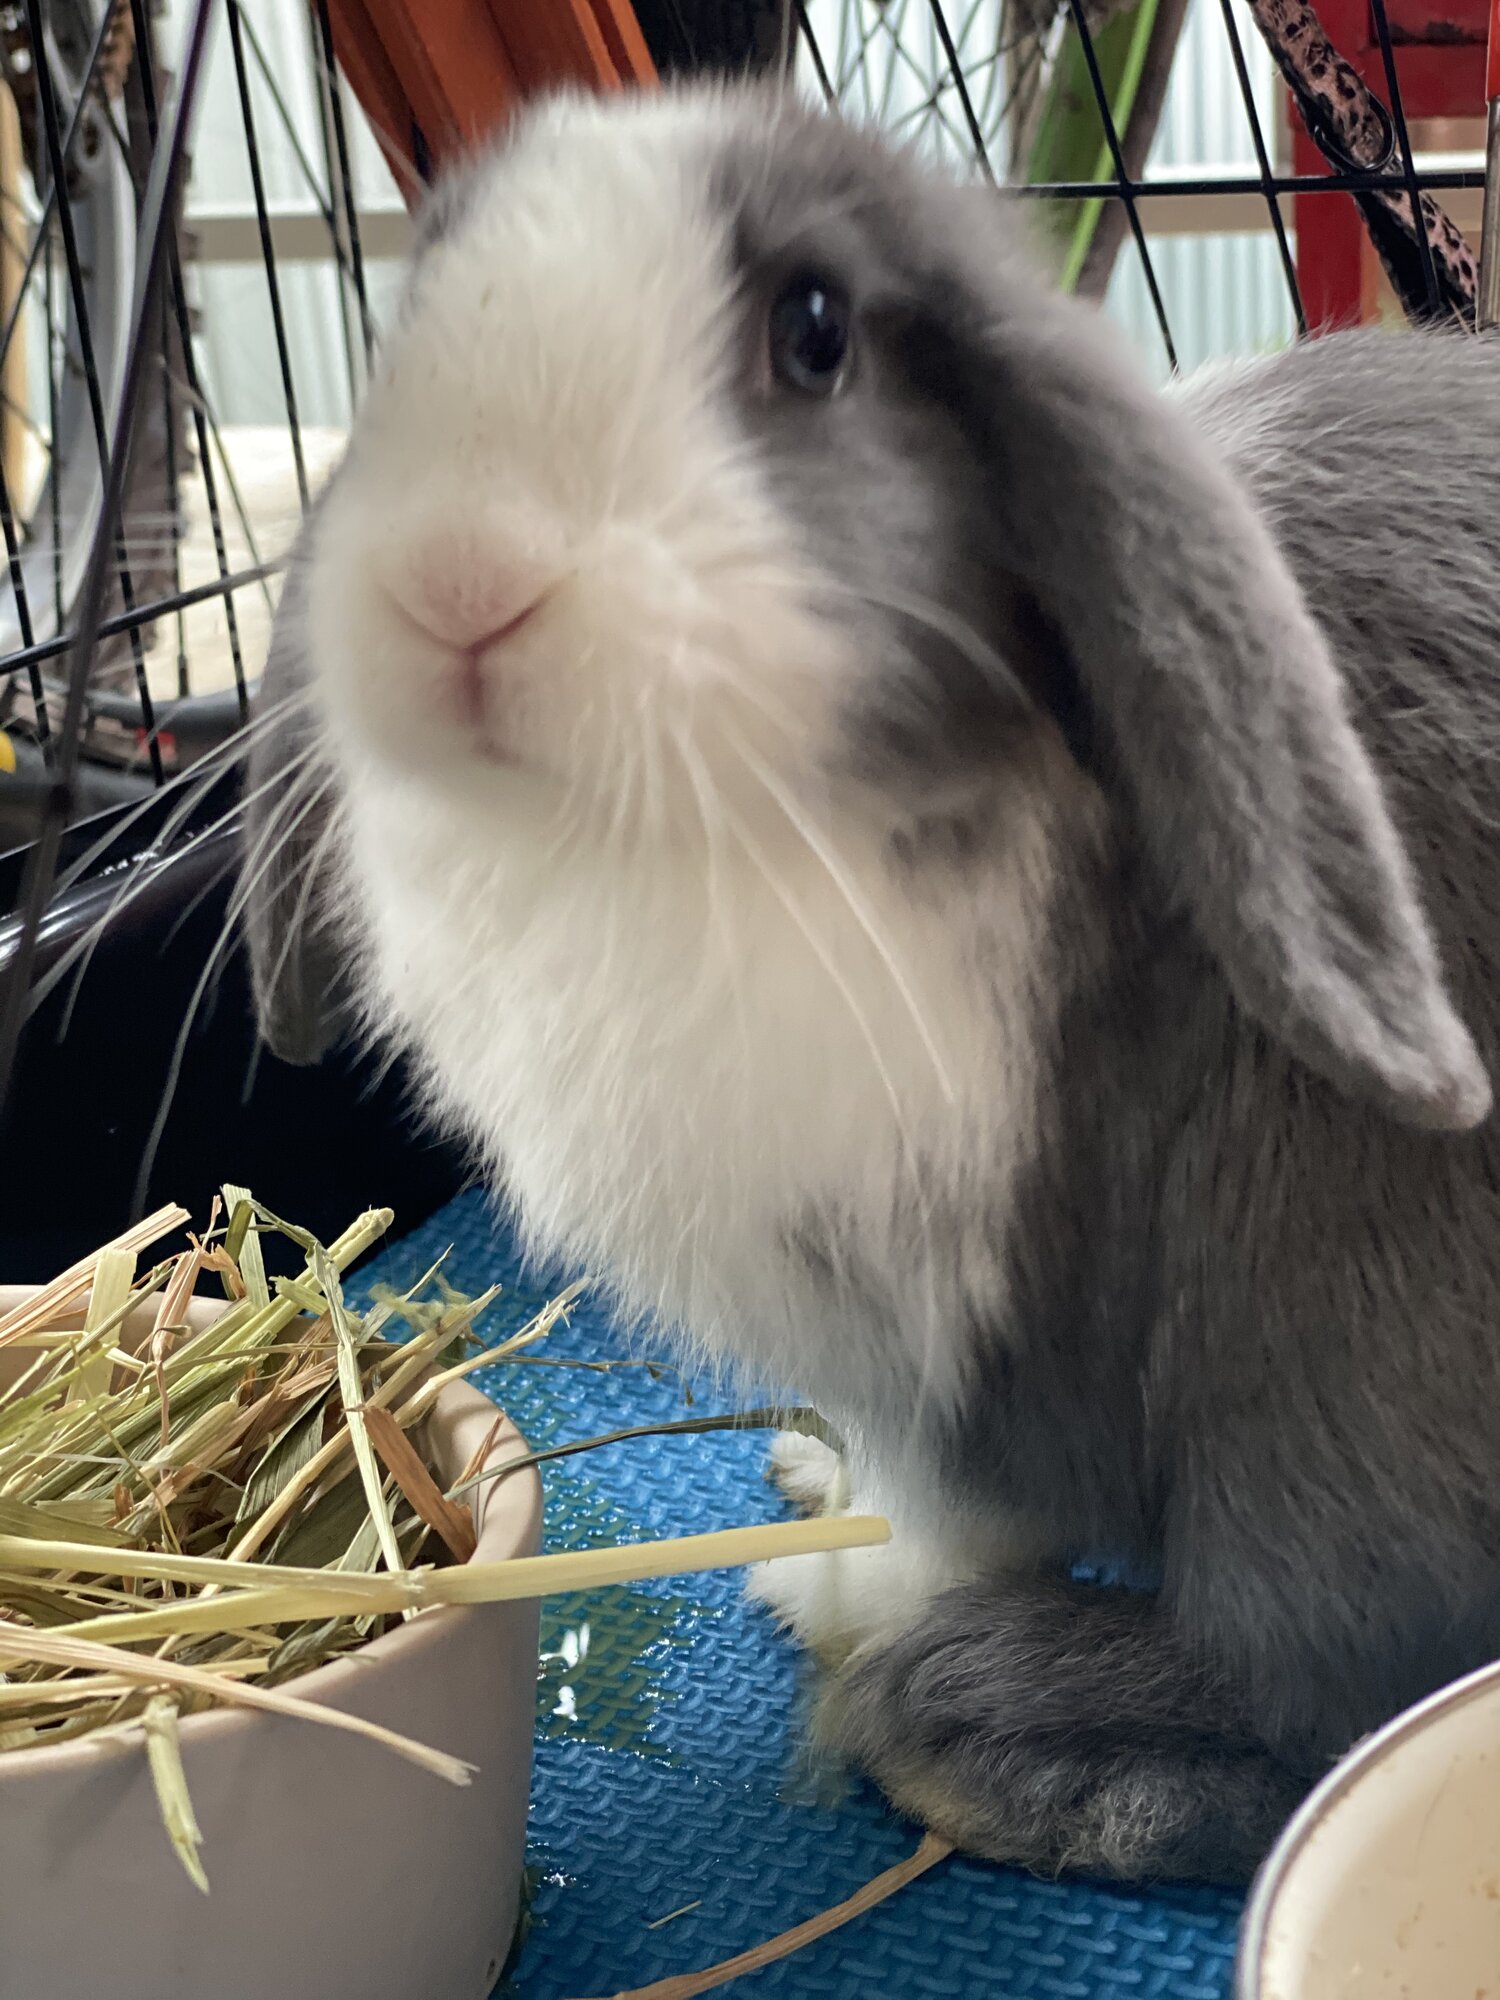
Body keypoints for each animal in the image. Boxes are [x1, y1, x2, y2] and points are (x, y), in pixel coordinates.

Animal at [241, 82, 1500, 1888]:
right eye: (413, 308)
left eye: (815, 331)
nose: (457, 580)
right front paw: (801, 1477)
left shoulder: (971, 1328)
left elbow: (945, 1514)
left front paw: (823, 1587)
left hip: (1348, 1385)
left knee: (1310, 1687)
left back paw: (976, 1739)